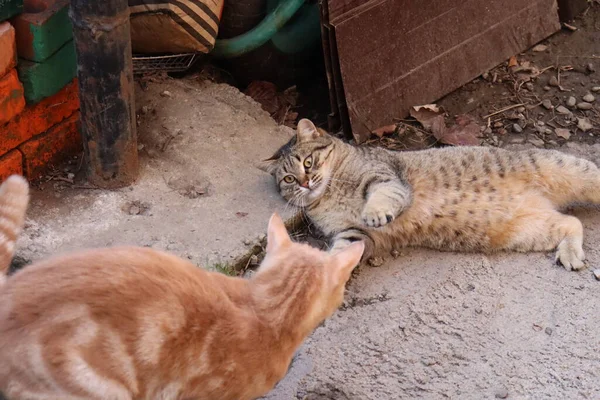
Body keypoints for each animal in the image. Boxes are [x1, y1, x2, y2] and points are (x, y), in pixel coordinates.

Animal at [258, 117, 600, 270]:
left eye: (308, 161)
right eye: (288, 178)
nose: (305, 183)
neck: (329, 193)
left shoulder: (384, 177)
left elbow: (381, 197)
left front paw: (374, 211)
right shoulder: (351, 233)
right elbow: (341, 251)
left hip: (568, 170)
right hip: (529, 229)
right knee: (571, 223)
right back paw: (570, 253)